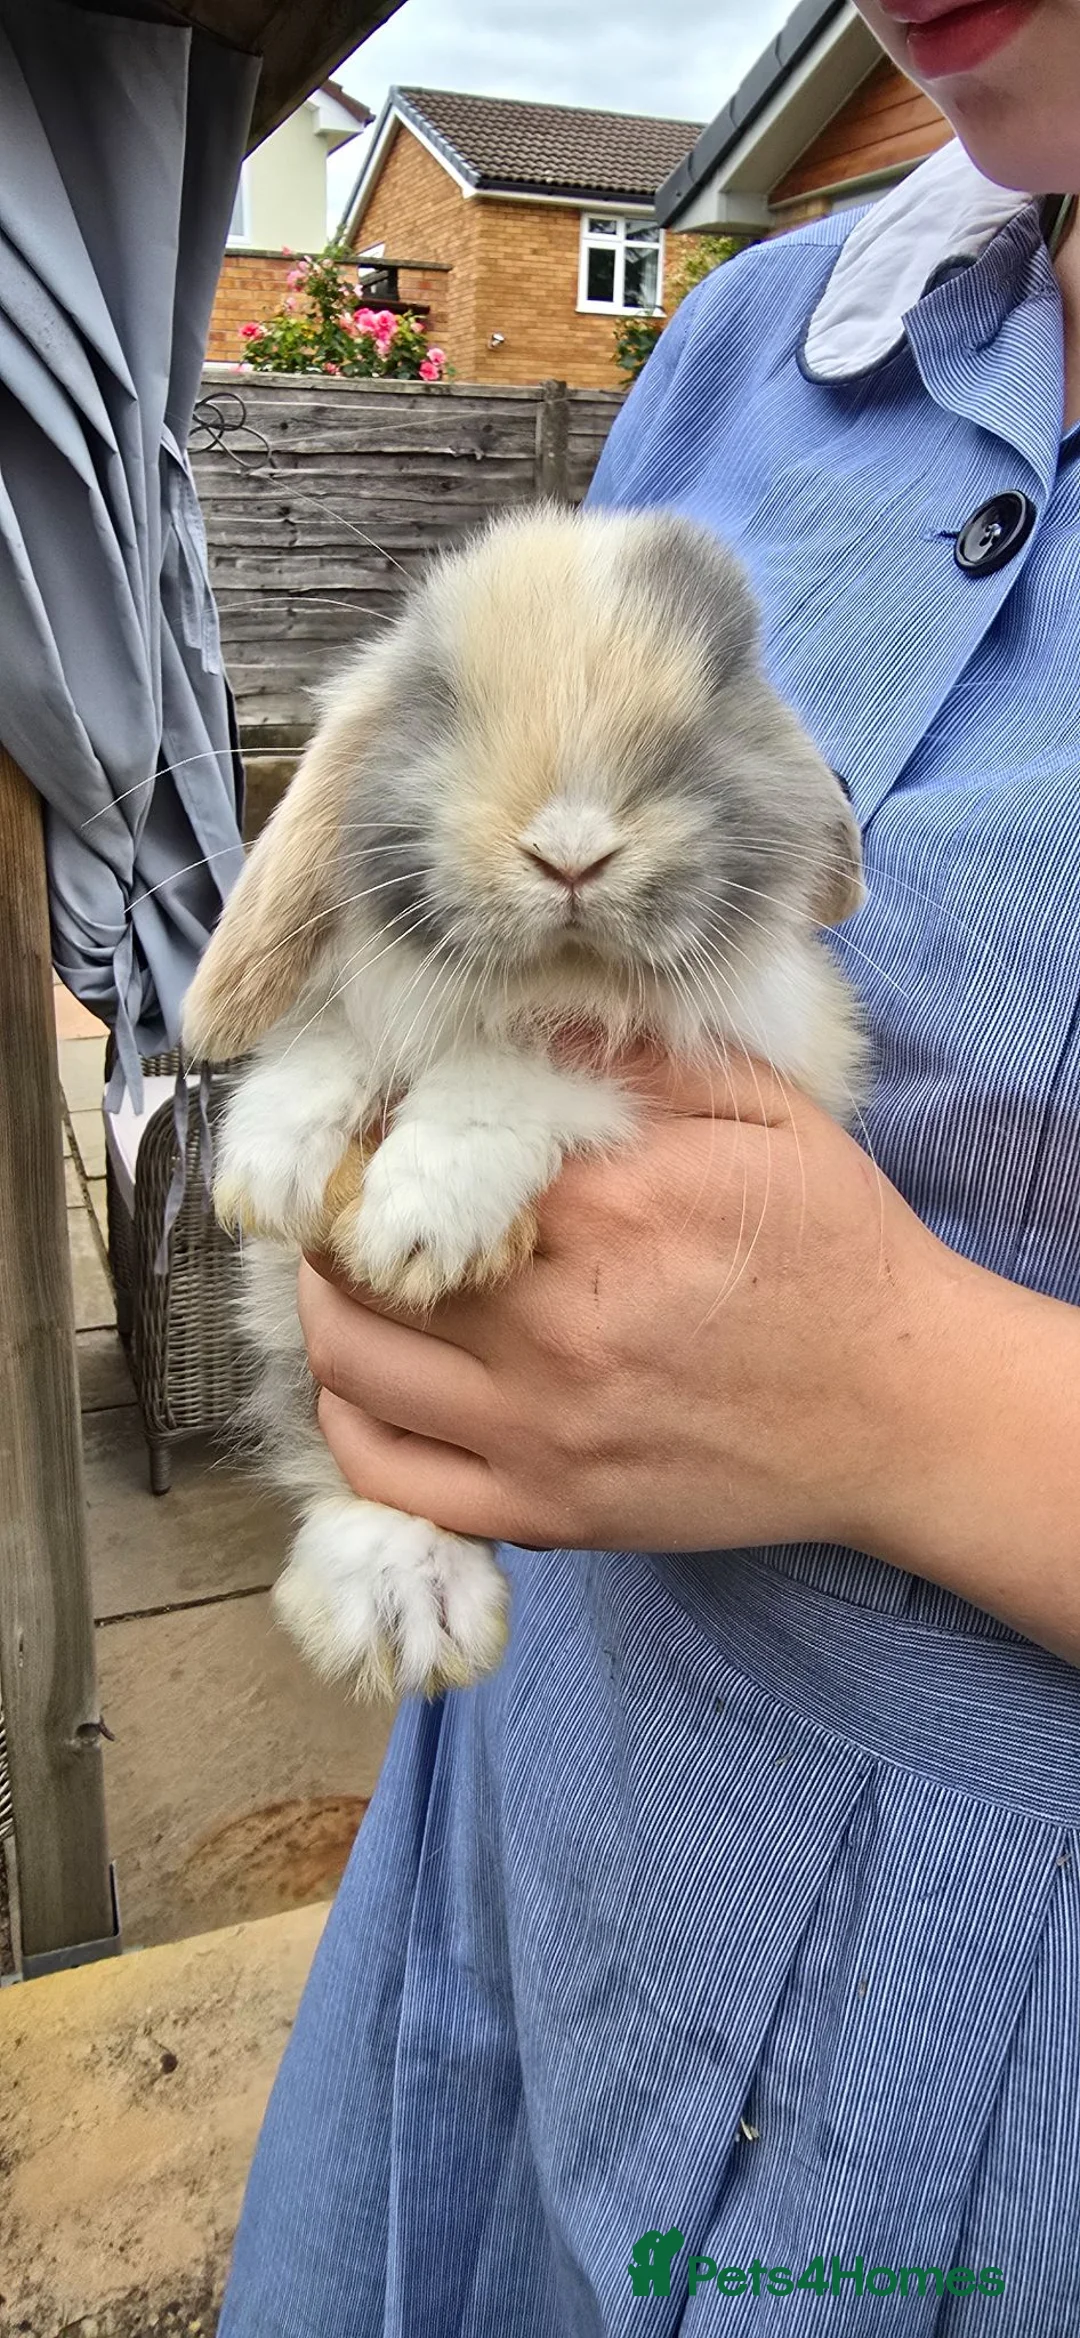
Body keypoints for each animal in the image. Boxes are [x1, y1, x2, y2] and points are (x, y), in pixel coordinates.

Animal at [182, 504, 866, 1702]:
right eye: (440, 696)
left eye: (723, 685)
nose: (571, 849)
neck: (550, 974)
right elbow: (339, 1035)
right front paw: (265, 1166)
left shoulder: (763, 1044)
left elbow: (532, 1068)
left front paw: (421, 1221)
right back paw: (392, 1604)